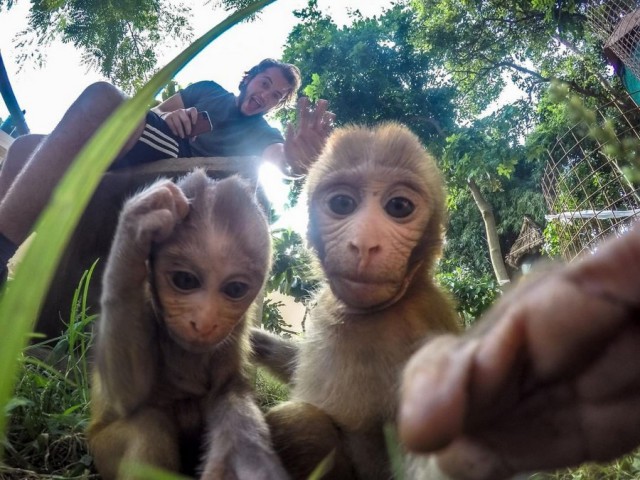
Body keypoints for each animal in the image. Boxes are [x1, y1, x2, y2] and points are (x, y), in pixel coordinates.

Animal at [86, 171, 286, 480]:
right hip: (99, 448)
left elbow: (227, 392)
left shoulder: (235, 334)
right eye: (185, 281)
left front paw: (246, 451)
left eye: (235, 289)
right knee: (148, 427)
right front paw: (132, 234)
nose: (204, 323)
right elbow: (126, 396)